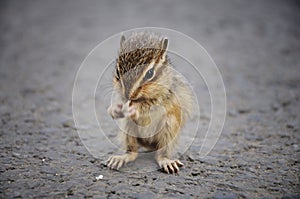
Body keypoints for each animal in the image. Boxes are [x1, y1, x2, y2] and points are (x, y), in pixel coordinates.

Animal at [106, 31, 193, 173]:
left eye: (150, 73)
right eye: (118, 71)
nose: (128, 95)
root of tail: (149, 144)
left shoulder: (164, 96)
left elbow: (150, 105)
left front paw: (134, 109)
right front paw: (114, 110)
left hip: (169, 128)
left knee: (161, 154)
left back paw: (166, 161)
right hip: (129, 129)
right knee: (133, 152)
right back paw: (121, 158)